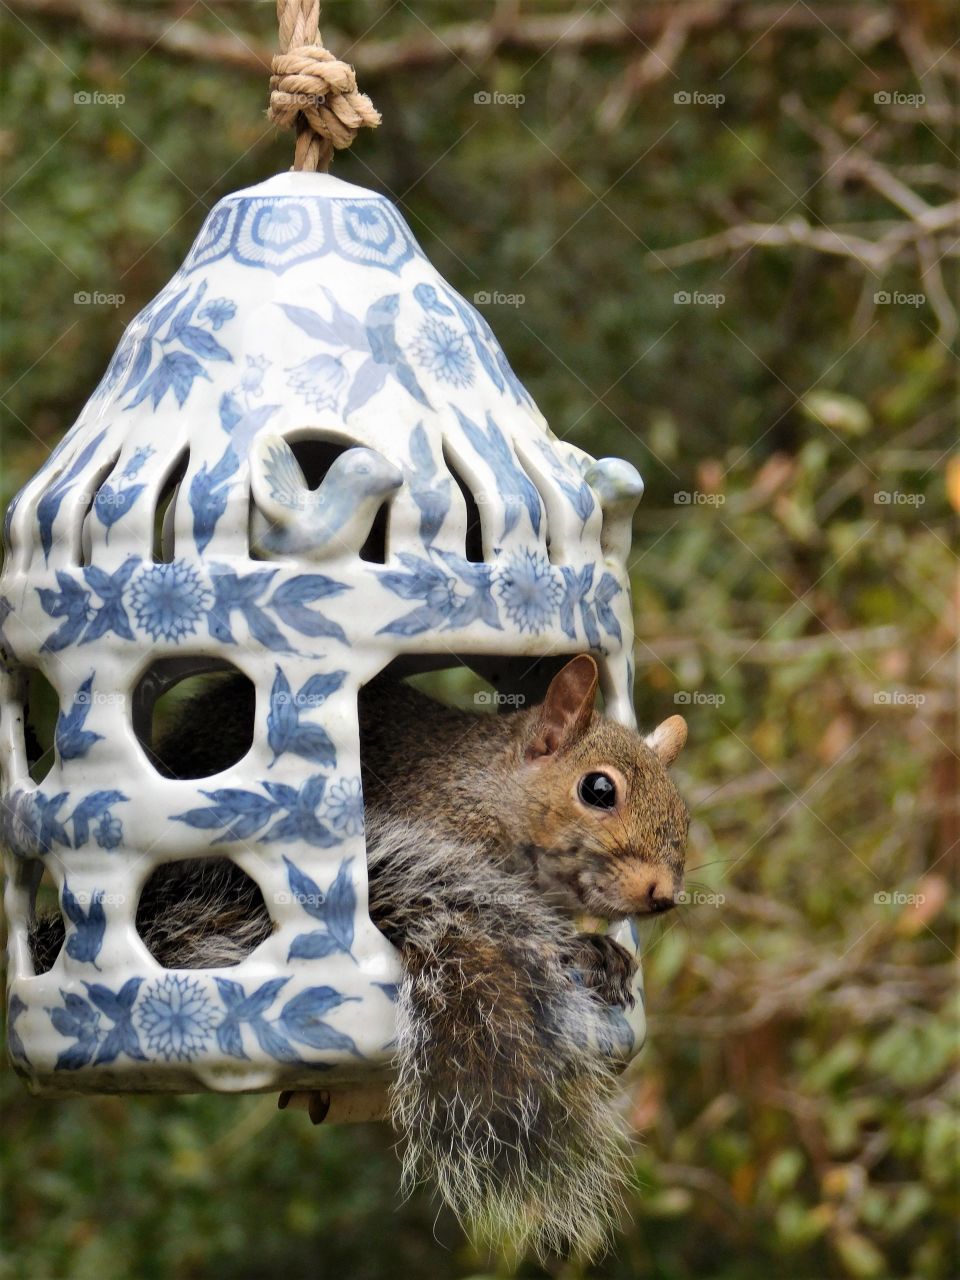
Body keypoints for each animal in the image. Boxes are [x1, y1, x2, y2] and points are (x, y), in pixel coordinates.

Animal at [28, 655, 689, 1259]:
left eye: (681, 808)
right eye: (598, 790)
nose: (663, 895)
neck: (486, 792)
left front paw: (603, 951)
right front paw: (576, 946)